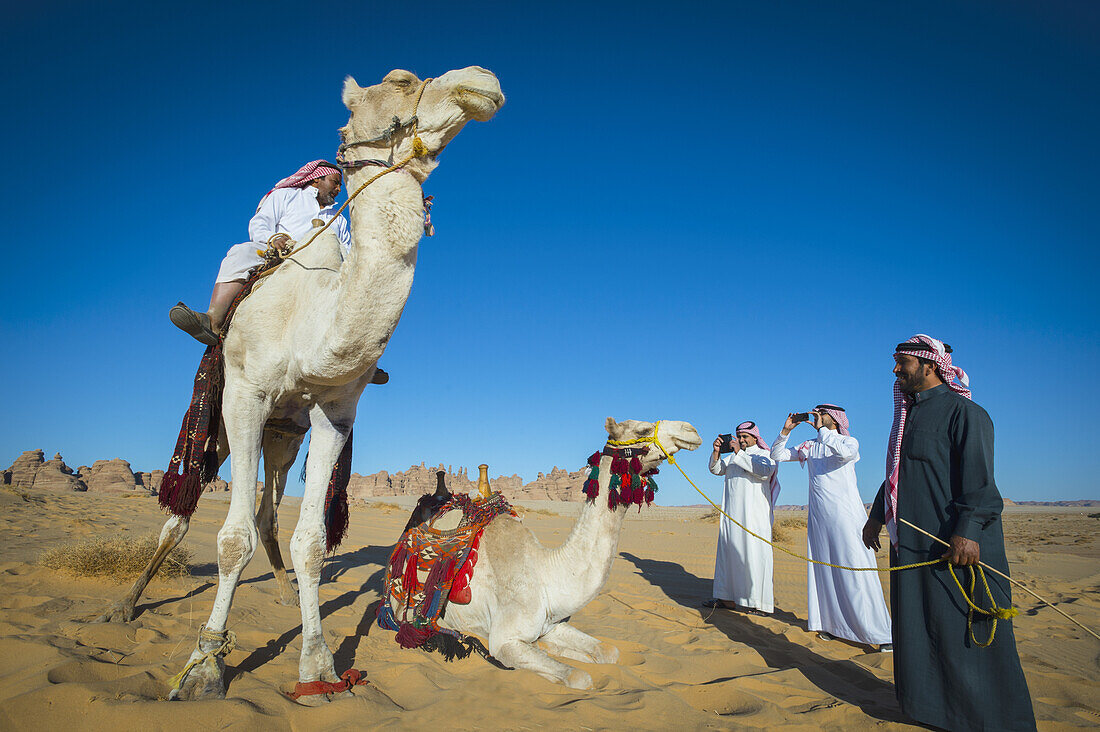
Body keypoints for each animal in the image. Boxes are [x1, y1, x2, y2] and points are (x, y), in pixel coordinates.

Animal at [435, 416, 695, 686]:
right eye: (643, 429)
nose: (691, 430)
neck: (546, 575)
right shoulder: (504, 641)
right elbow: (579, 677)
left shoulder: (553, 625)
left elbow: (609, 651)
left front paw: (556, 649)